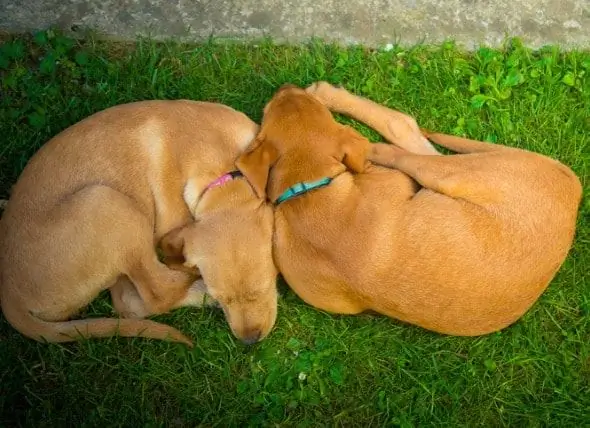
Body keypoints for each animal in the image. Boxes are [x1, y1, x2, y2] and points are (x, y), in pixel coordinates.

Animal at [0, 101, 278, 348]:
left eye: (262, 289)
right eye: (223, 299)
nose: (249, 341)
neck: (223, 175)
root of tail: (9, 297)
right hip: (106, 203)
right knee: (155, 294)